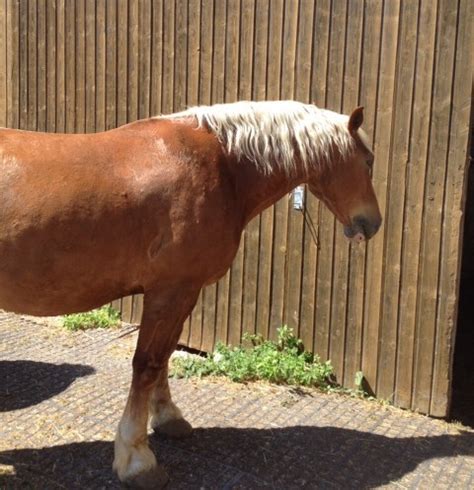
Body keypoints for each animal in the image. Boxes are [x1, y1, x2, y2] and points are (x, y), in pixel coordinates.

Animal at [0, 100, 382, 486]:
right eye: (368, 160)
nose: (372, 223)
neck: (224, 166)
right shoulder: (170, 291)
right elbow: (147, 364)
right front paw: (136, 458)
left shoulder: (186, 291)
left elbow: (166, 355)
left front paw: (168, 417)